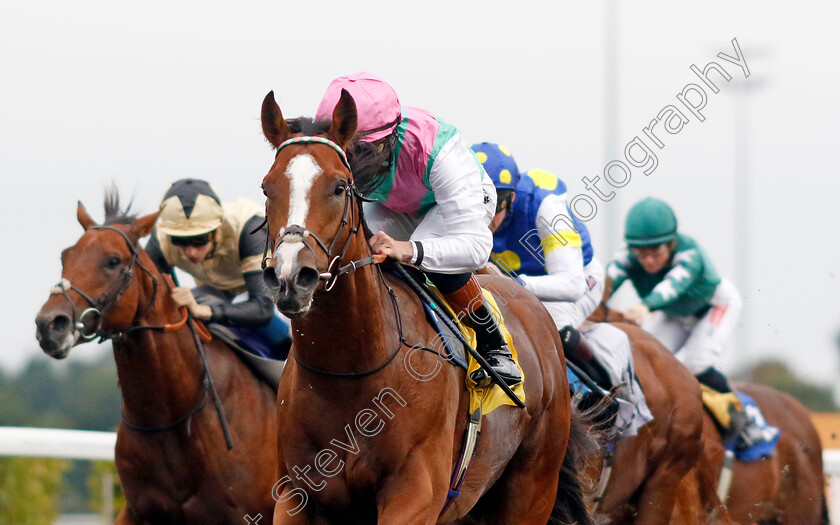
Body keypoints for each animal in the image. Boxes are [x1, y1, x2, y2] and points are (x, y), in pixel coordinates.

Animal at [256, 88, 592, 520]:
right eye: (267, 188)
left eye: (339, 187)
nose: (290, 277)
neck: (348, 374)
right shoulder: (296, 495)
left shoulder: (416, 492)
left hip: (532, 486)